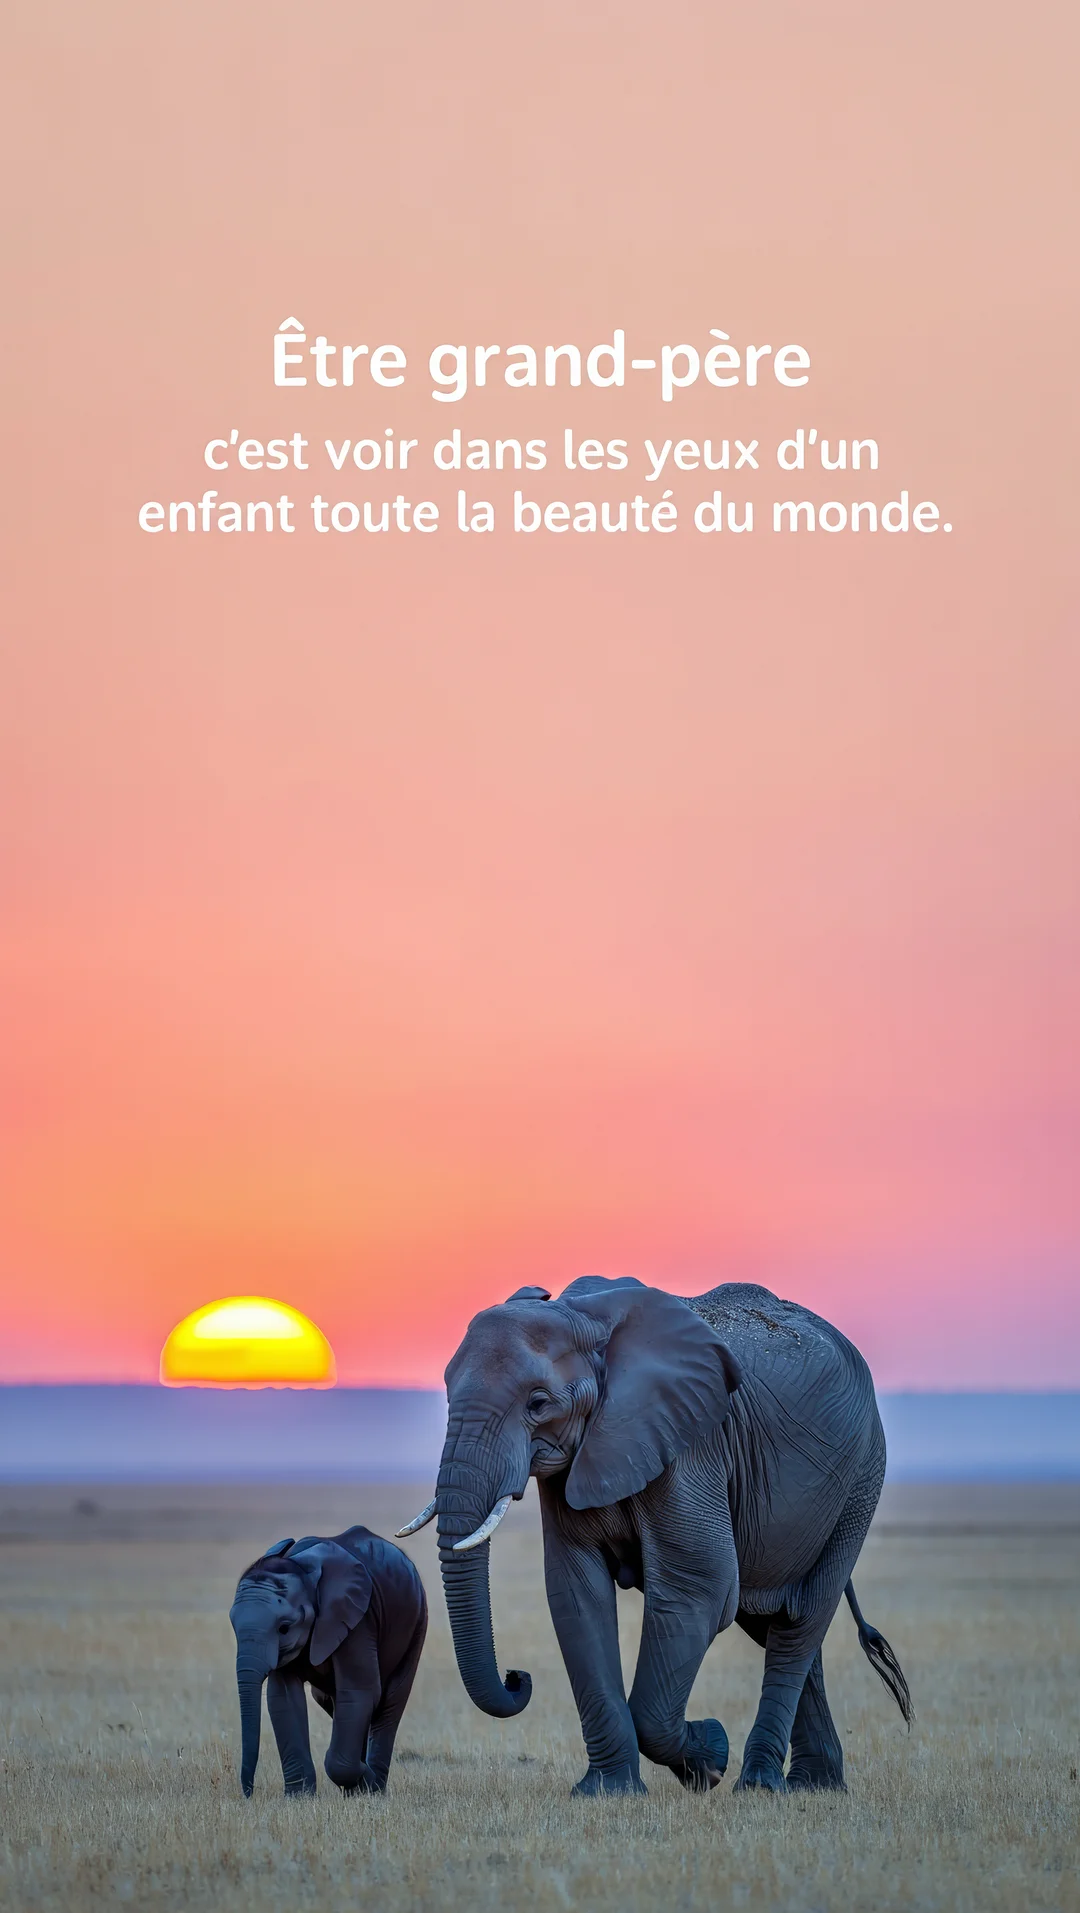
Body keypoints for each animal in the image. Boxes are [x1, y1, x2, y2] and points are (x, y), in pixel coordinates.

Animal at [229, 1524, 426, 1797]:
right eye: (233, 1624)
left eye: (284, 1628)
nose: (249, 1793)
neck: (302, 1571)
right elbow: (284, 1698)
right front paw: (299, 1798)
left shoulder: (359, 1618)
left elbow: (359, 1691)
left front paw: (364, 1781)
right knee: (331, 1701)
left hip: (416, 1623)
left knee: (389, 1703)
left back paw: (374, 1787)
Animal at [398, 1277, 911, 1797]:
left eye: (538, 1404)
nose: (516, 1676)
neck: (584, 1318)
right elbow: (576, 1592)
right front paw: (608, 1792)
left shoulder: (691, 1446)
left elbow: (698, 1588)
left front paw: (710, 1755)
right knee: (779, 1624)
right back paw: (815, 1786)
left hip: (860, 1482)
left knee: (802, 1622)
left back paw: (760, 1787)